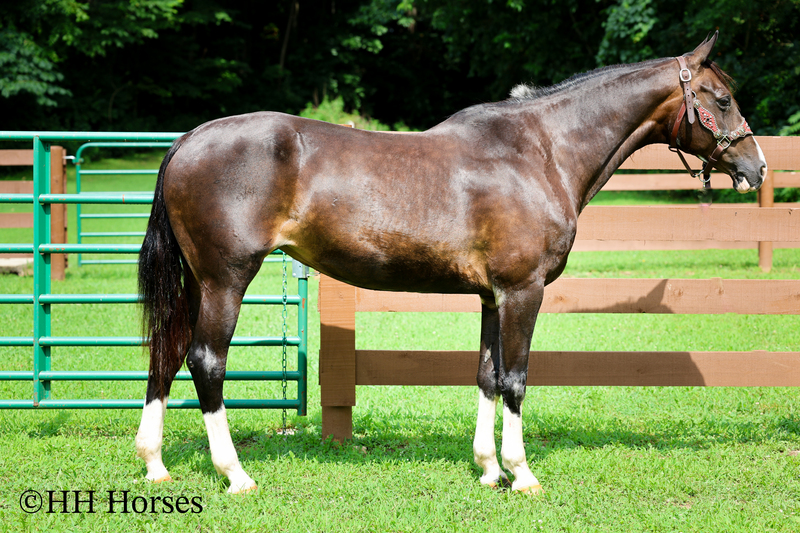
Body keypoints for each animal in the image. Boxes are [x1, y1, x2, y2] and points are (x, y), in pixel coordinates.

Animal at [134, 32, 767, 494]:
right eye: (722, 98)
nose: (756, 168)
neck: (539, 151)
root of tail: (189, 139)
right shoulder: (523, 291)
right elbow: (515, 379)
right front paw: (522, 474)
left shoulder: (492, 296)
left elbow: (486, 375)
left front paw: (488, 469)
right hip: (226, 280)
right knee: (206, 360)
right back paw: (235, 475)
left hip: (197, 283)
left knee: (168, 351)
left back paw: (155, 464)